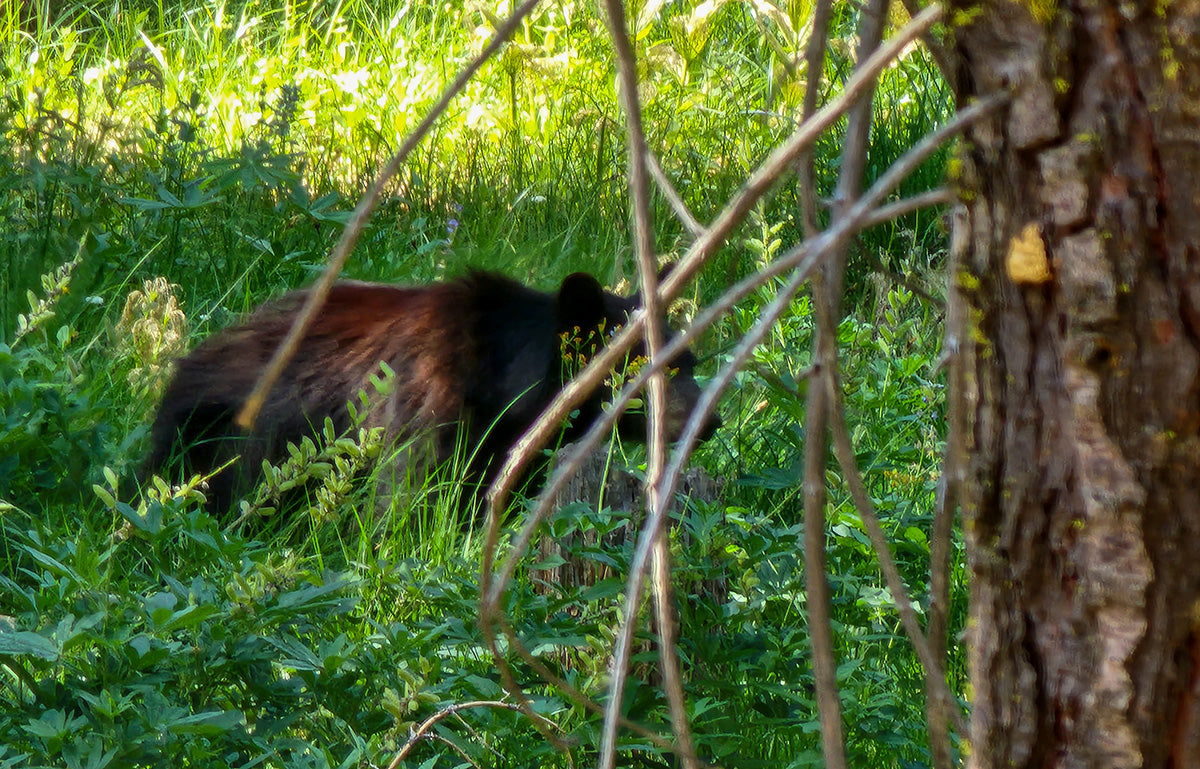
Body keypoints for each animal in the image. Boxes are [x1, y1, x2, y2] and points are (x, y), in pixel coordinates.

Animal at [144, 266, 715, 513]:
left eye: (688, 362)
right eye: (648, 371)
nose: (711, 421)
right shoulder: (429, 409)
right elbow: (410, 497)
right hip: (222, 440)